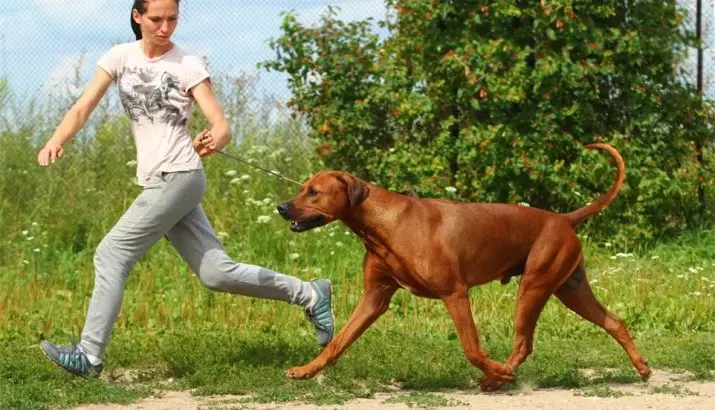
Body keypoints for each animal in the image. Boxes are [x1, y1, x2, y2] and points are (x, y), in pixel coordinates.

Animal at [276, 143, 652, 390]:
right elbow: (338, 342)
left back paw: (498, 377)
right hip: (570, 289)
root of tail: (563, 219)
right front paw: (307, 370)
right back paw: (642, 367)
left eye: (314, 192)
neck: (386, 222)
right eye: (302, 189)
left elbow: (471, 348)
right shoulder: (374, 299)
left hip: (534, 286)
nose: (281, 207)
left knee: (524, 344)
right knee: (615, 322)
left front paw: (494, 371)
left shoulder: (454, 293)